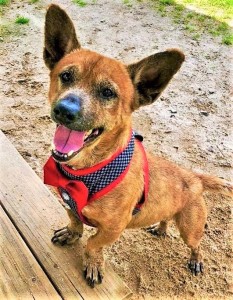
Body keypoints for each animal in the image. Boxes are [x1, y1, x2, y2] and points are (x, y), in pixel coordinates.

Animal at [42, 4, 232, 288]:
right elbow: (76, 223)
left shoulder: (112, 228)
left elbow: (92, 243)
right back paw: (161, 228)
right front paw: (71, 233)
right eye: (65, 76)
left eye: (108, 93)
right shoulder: (69, 205)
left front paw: (93, 264)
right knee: (166, 217)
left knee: (196, 244)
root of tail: (193, 177)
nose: (65, 110)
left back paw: (196, 260)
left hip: (191, 228)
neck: (89, 171)